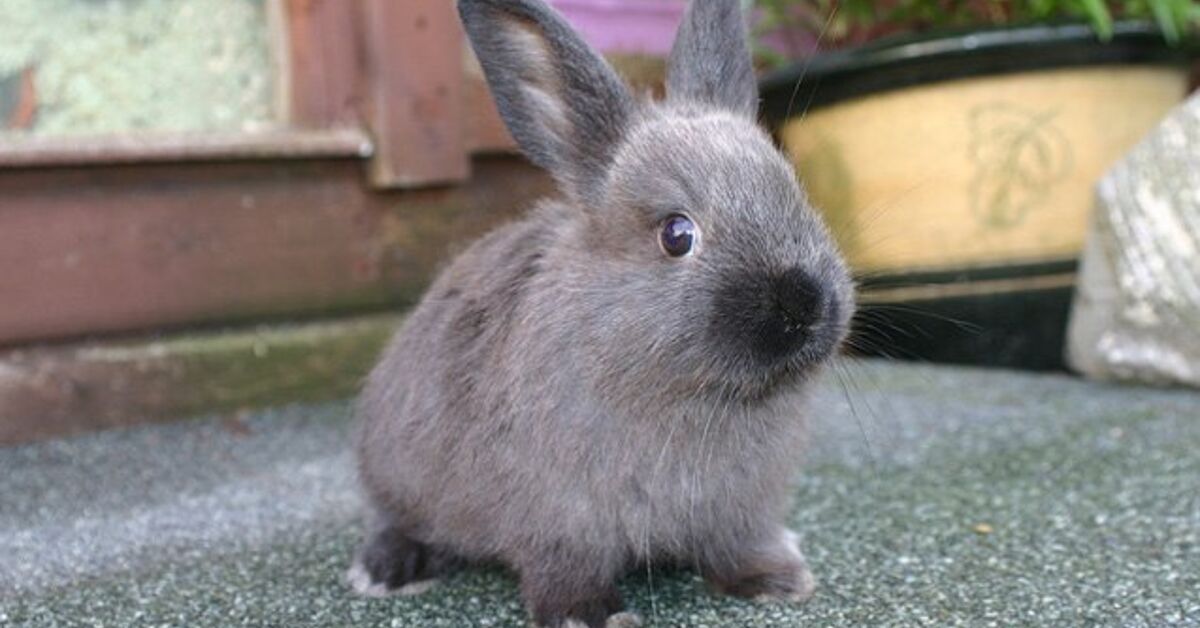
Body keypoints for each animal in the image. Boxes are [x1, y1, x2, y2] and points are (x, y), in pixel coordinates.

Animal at [347, 0, 855, 626]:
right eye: (677, 234)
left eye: (793, 193)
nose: (805, 304)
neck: (693, 394)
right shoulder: (560, 519)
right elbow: (565, 569)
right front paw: (589, 615)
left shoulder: (743, 510)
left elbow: (738, 547)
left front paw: (777, 581)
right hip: (395, 471)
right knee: (395, 519)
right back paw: (388, 570)